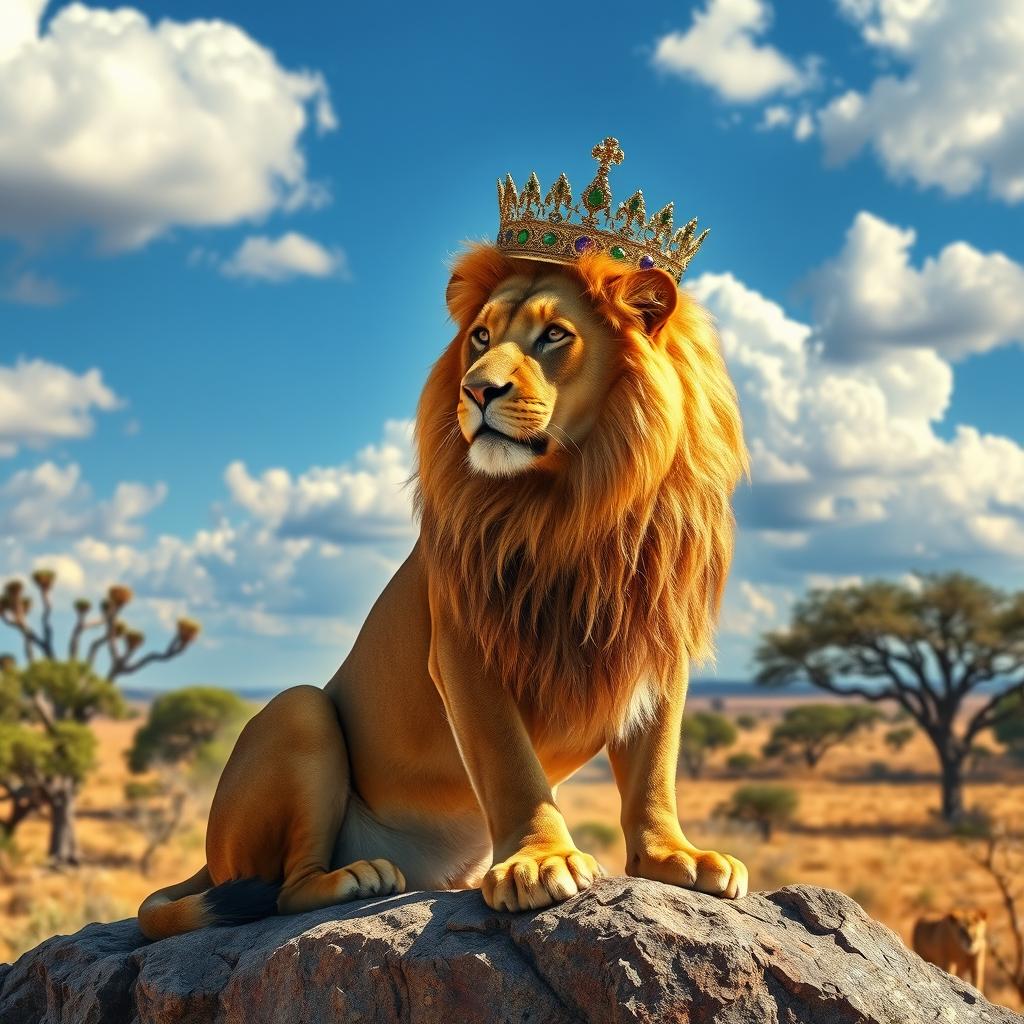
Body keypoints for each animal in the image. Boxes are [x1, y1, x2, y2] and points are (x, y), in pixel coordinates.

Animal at [138, 244, 749, 940]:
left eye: (554, 336)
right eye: (480, 336)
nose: (476, 389)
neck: (578, 502)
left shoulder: (656, 640)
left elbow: (655, 767)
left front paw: (674, 857)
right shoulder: (464, 643)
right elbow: (510, 763)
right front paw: (539, 862)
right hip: (296, 712)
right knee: (279, 891)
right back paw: (353, 878)